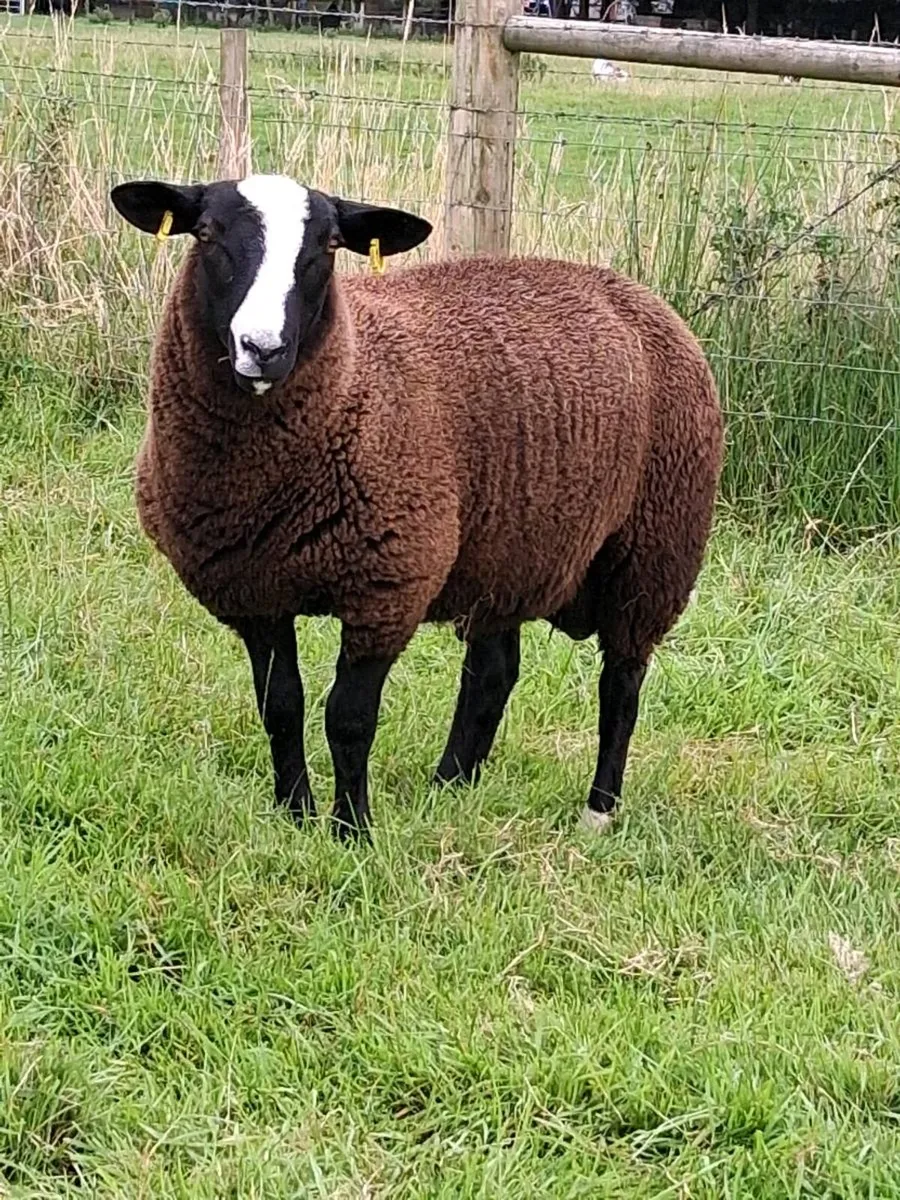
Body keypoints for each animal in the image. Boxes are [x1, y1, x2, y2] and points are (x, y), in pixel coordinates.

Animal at [110, 173, 724, 839]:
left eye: (328, 245)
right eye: (205, 233)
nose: (262, 348)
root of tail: (633, 291)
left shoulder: (388, 585)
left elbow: (348, 719)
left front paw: (351, 830)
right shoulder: (254, 594)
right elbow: (281, 707)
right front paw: (295, 814)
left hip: (655, 549)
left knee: (623, 683)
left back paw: (597, 810)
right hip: (507, 548)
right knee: (494, 671)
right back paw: (450, 784)